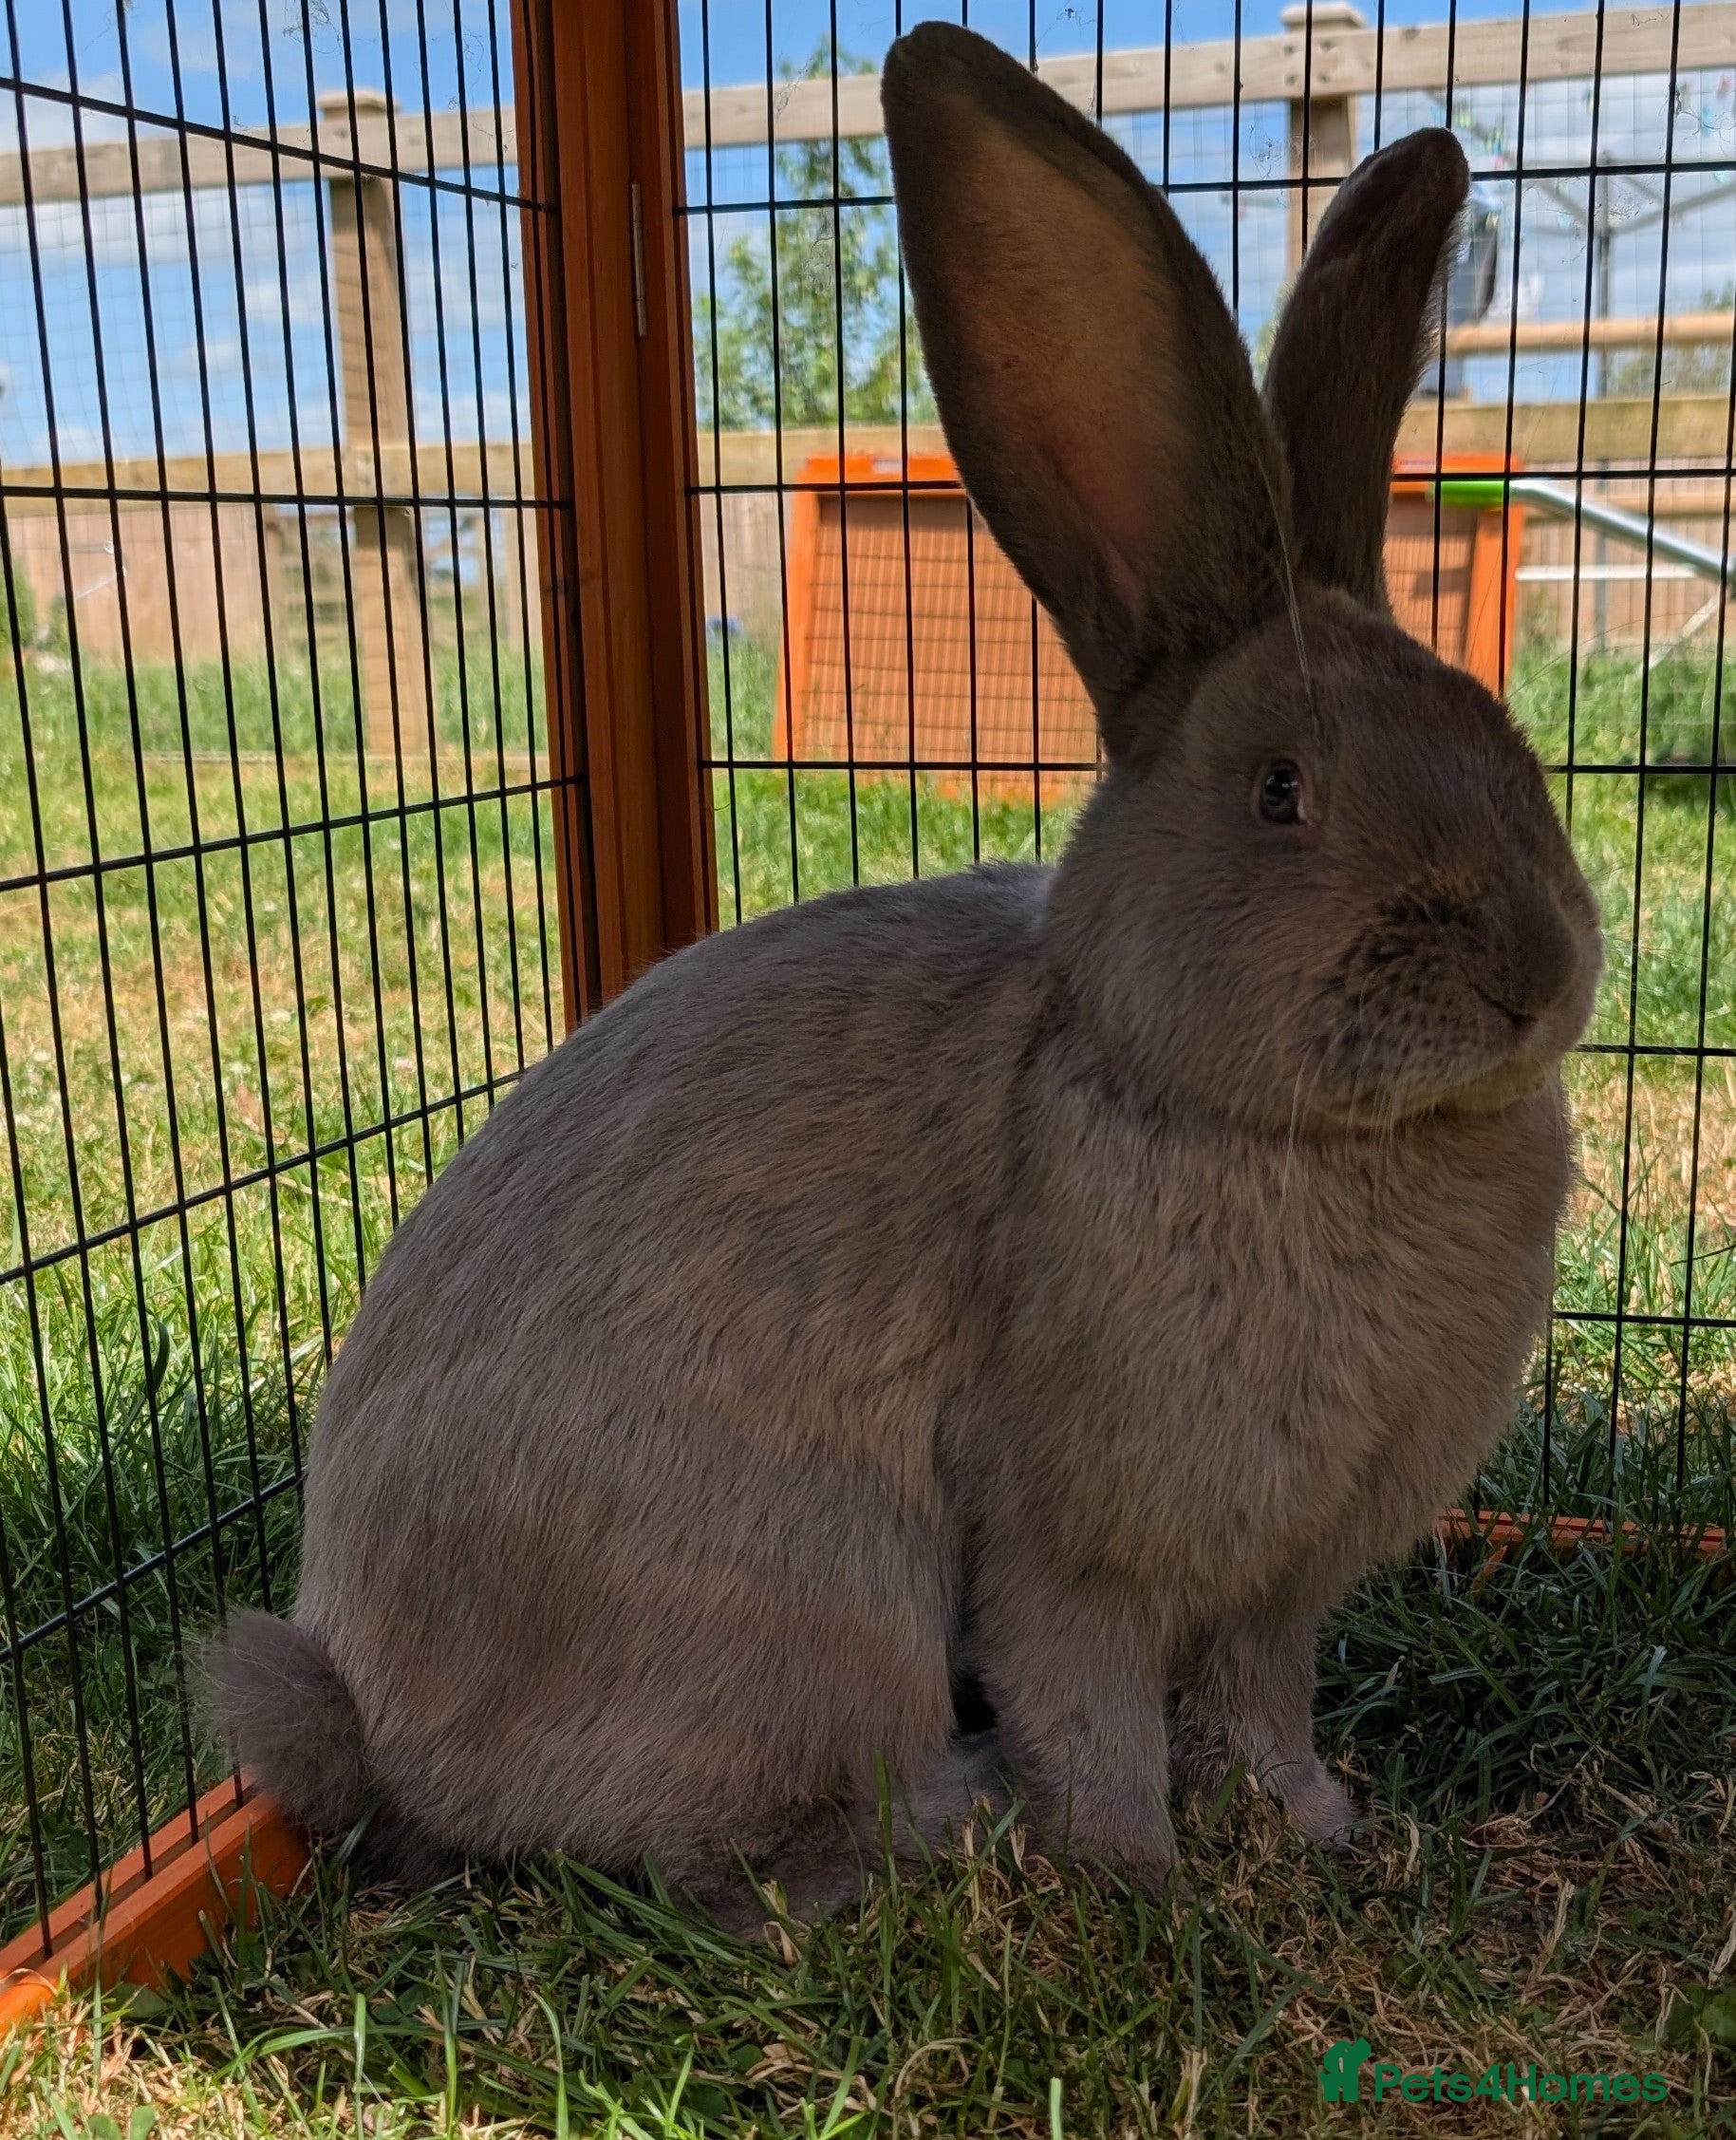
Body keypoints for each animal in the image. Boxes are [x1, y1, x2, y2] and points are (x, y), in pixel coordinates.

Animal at [206, 21, 1602, 1925]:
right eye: (1279, 791)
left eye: (1507, 746)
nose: (1534, 976)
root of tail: (369, 1727)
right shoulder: (1073, 1546)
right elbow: (1090, 1701)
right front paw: (1139, 1878)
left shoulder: (1276, 1591)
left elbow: (1263, 1702)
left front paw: (1315, 1821)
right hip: (825, 1605)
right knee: (732, 1857)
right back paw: (957, 1816)